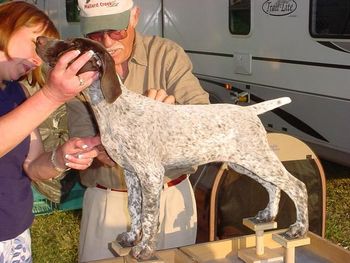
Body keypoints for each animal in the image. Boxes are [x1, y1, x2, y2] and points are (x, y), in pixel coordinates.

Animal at [36, 36, 308, 260]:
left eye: (73, 45)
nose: (39, 39)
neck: (112, 108)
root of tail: (249, 110)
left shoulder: (151, 175)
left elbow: (149, 216)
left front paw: (145, 249)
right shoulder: (131, 174)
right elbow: (134, 209)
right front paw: (131, 238)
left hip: (257, 160)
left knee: (297, 186)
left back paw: (298, 230)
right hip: (245, 163)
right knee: (274, 187)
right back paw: (267, 216)